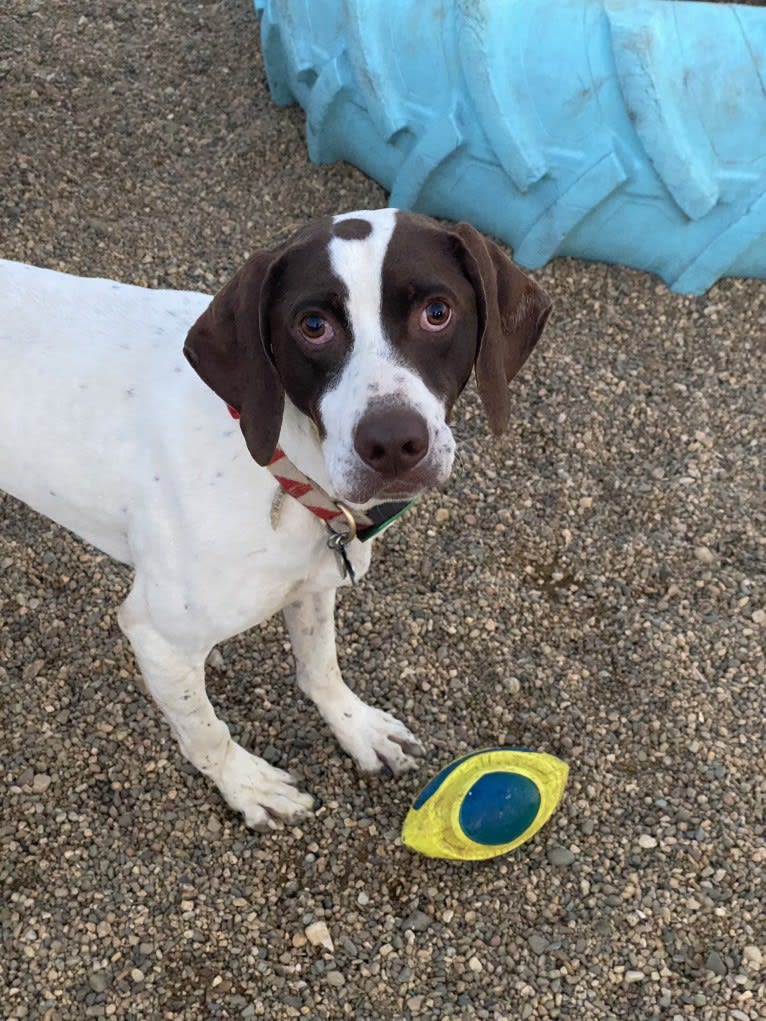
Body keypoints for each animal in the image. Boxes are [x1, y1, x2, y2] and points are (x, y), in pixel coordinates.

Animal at [0, 207, 551, 829]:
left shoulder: (312, 582)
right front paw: (246, 785)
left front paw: (357, 729)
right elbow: (206, 731)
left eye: (438, 313)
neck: (280, 465)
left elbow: (321, 667)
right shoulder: (157, 638)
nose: (392, 443)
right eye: (312, 325)